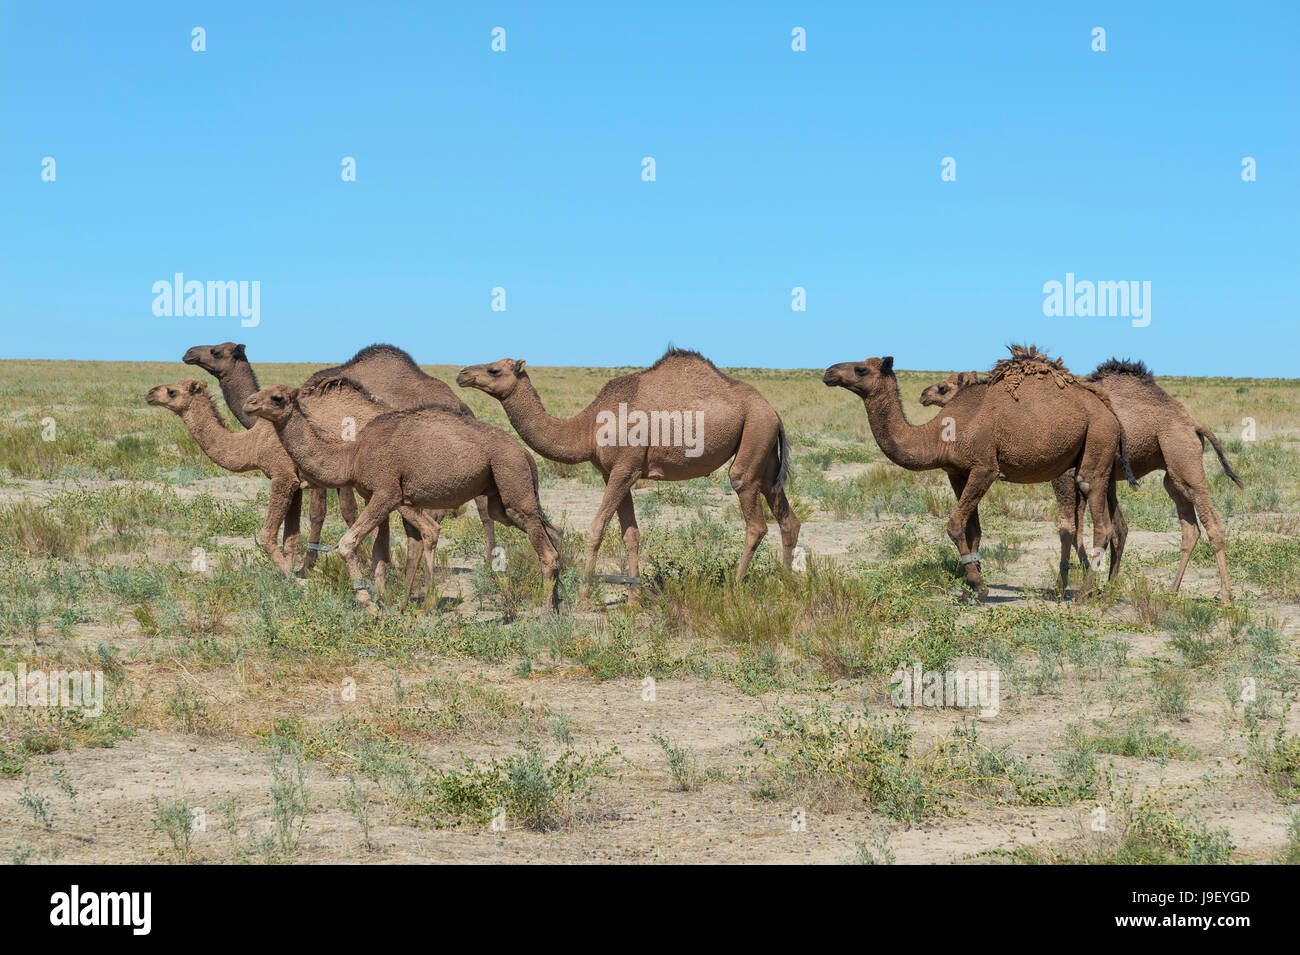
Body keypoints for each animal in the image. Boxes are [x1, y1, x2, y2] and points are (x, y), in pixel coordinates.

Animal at [147, 379, 301, 574]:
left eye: (172, 391)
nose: (150, 394)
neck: (253, 444)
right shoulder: (297, 483)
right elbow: (292, 539)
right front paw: (294, 573)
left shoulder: (283, 475)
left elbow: (267, 535)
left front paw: (292, 578)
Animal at [244, 374, 559, 613]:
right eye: (261, 391)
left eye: (277, 398)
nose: (249, 403)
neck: (353, 455)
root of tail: (524, 453)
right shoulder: (376, 495)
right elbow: (380, 553)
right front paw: (386, 602)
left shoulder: (387, 492)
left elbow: (347, 544)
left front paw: (369, 603)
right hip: (502, 499)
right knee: (551, 535)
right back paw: (556, 605)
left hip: (511, 478)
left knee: (545, 551)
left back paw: (542, 616)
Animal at [457, 345, 800, 597]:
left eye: (494, 369)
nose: (462, 373)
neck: (588, 425)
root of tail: (773, 410)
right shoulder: (614, 472)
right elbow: (631, 534)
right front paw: (634, 597)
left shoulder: (626, 468)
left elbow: (596, 528)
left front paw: (583, 595)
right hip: (765, 453)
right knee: (787, 518)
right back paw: (785, 584)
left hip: (754, 435)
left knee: (753, 514)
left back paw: (734, 587)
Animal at [821, 350, 1138, 600]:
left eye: (861, 369)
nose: (828, 371)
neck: (938, 435)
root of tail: (1111, 413)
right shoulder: (957, 472)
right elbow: (972, 529)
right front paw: (969, 591)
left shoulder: (985, 468)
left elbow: (953, 525)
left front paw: (978, 585)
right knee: (1110, 522)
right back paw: (1094, 587)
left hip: (1096, 441)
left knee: (1101, 522)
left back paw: (1085, 592)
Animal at [920, 358, 1242, 597]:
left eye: (943, 387)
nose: (923, 394)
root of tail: (1195, 424)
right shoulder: (1094, 478)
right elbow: (1110, 528)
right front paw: (1101, 582)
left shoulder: (1064, 477)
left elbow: (1071, 530)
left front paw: (1067, 585)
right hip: (1172, 474)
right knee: (1189, 528)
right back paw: (1171, 589)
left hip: (1183, 456)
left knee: (1212, 523)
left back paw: (1224, 594)